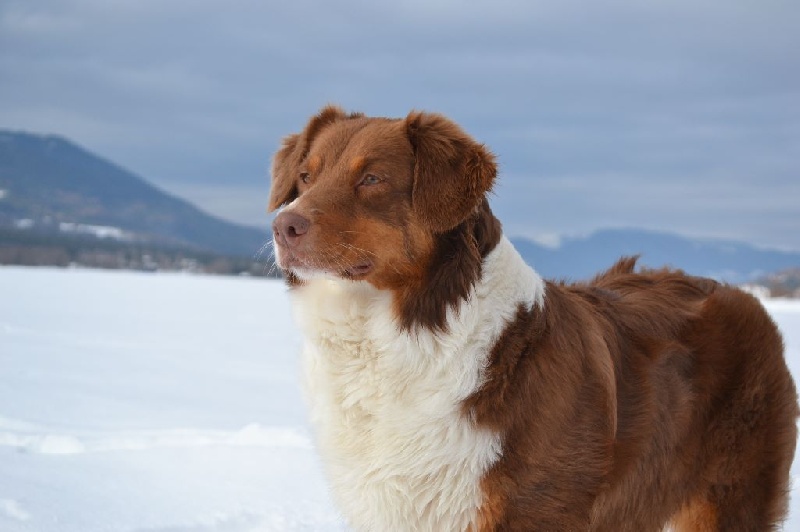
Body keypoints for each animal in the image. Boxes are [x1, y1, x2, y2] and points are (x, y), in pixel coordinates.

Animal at [270, 105, 800, 532]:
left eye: (372, 179)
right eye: (306, 176)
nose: (283, 226)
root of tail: (740, 294)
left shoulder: (535, 510)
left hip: (730, 497)